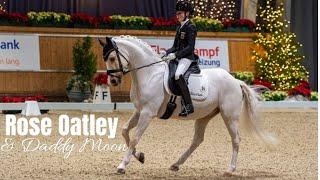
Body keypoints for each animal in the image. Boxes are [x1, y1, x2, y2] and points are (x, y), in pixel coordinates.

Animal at [98, 35, 278, 174]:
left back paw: (230, 169)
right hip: (205, 116)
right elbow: (124, 131)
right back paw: (176, 164)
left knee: (236, 139)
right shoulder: (139, 111)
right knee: (197, 140)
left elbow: (135, 138)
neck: (149, 74)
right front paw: (140, 156)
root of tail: (236, 81)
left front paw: (122, 165)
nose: (113, 81)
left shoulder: (148, 113)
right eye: (105, 59)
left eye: (112, 58)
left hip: (229, 116)